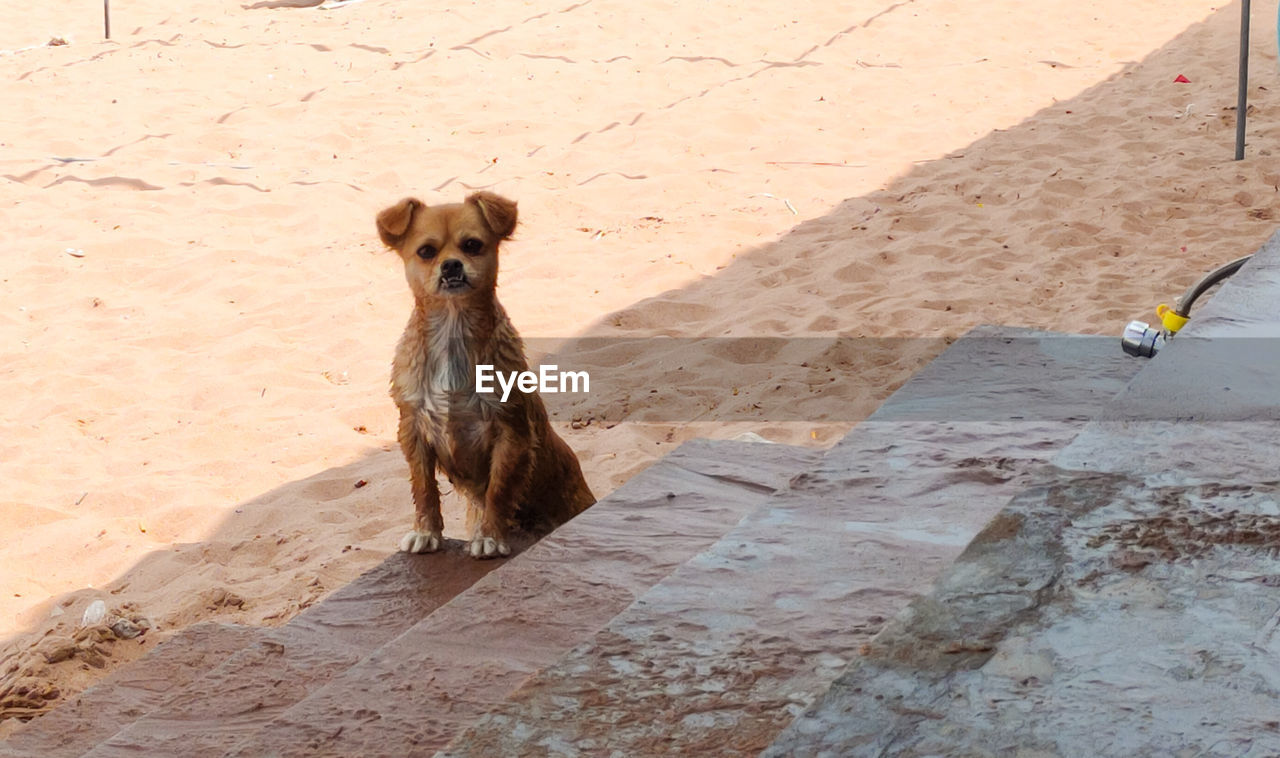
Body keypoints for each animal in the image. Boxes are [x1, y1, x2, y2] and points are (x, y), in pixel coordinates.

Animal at [373, 189, 593, 555]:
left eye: (472, 245)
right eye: (426, 251)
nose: (451, 264)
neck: (453, 332)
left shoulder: (510, 431)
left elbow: (498, 490)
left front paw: (490, 537)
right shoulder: (413, 429)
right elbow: (424, 488)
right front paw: (426, 532)